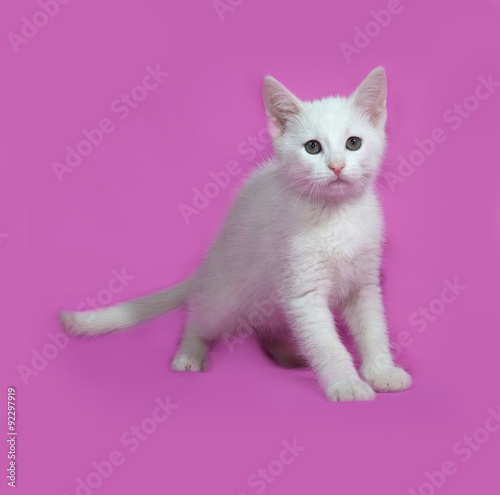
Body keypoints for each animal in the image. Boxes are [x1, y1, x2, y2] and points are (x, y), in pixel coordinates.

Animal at [59, 68, 410, 404]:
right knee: (199, 316)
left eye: (353, 143)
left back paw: (289, 355)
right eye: (313, 147)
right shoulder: (303, 290)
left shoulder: (364, 283)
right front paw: (346, 384)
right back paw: (190, 353)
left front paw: (381, 372)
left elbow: (373, 329)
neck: (336, 215)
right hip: (226, 297)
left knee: (269, 326)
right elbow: (327, 344)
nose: (336, 167)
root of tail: (212, 256)